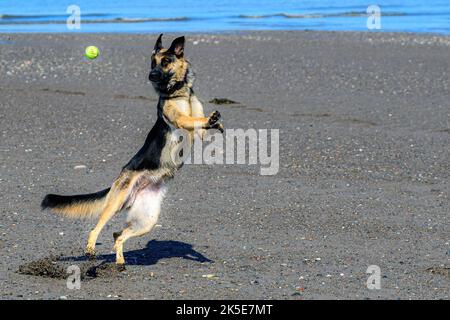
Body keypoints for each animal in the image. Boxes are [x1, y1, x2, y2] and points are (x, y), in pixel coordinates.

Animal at [41, 34, 223, 264]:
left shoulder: (198, 132)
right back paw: (91, 248)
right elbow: (192, 118)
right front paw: (211, 119)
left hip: (147, 219)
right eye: (152, 62)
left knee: (117, 235)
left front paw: (215, 122)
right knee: (97, 228)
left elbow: (200, 121)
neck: (178, 92)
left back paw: (119, 263)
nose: (151, 75)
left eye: (165, 61)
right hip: (116, 203)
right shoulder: (180, 119)